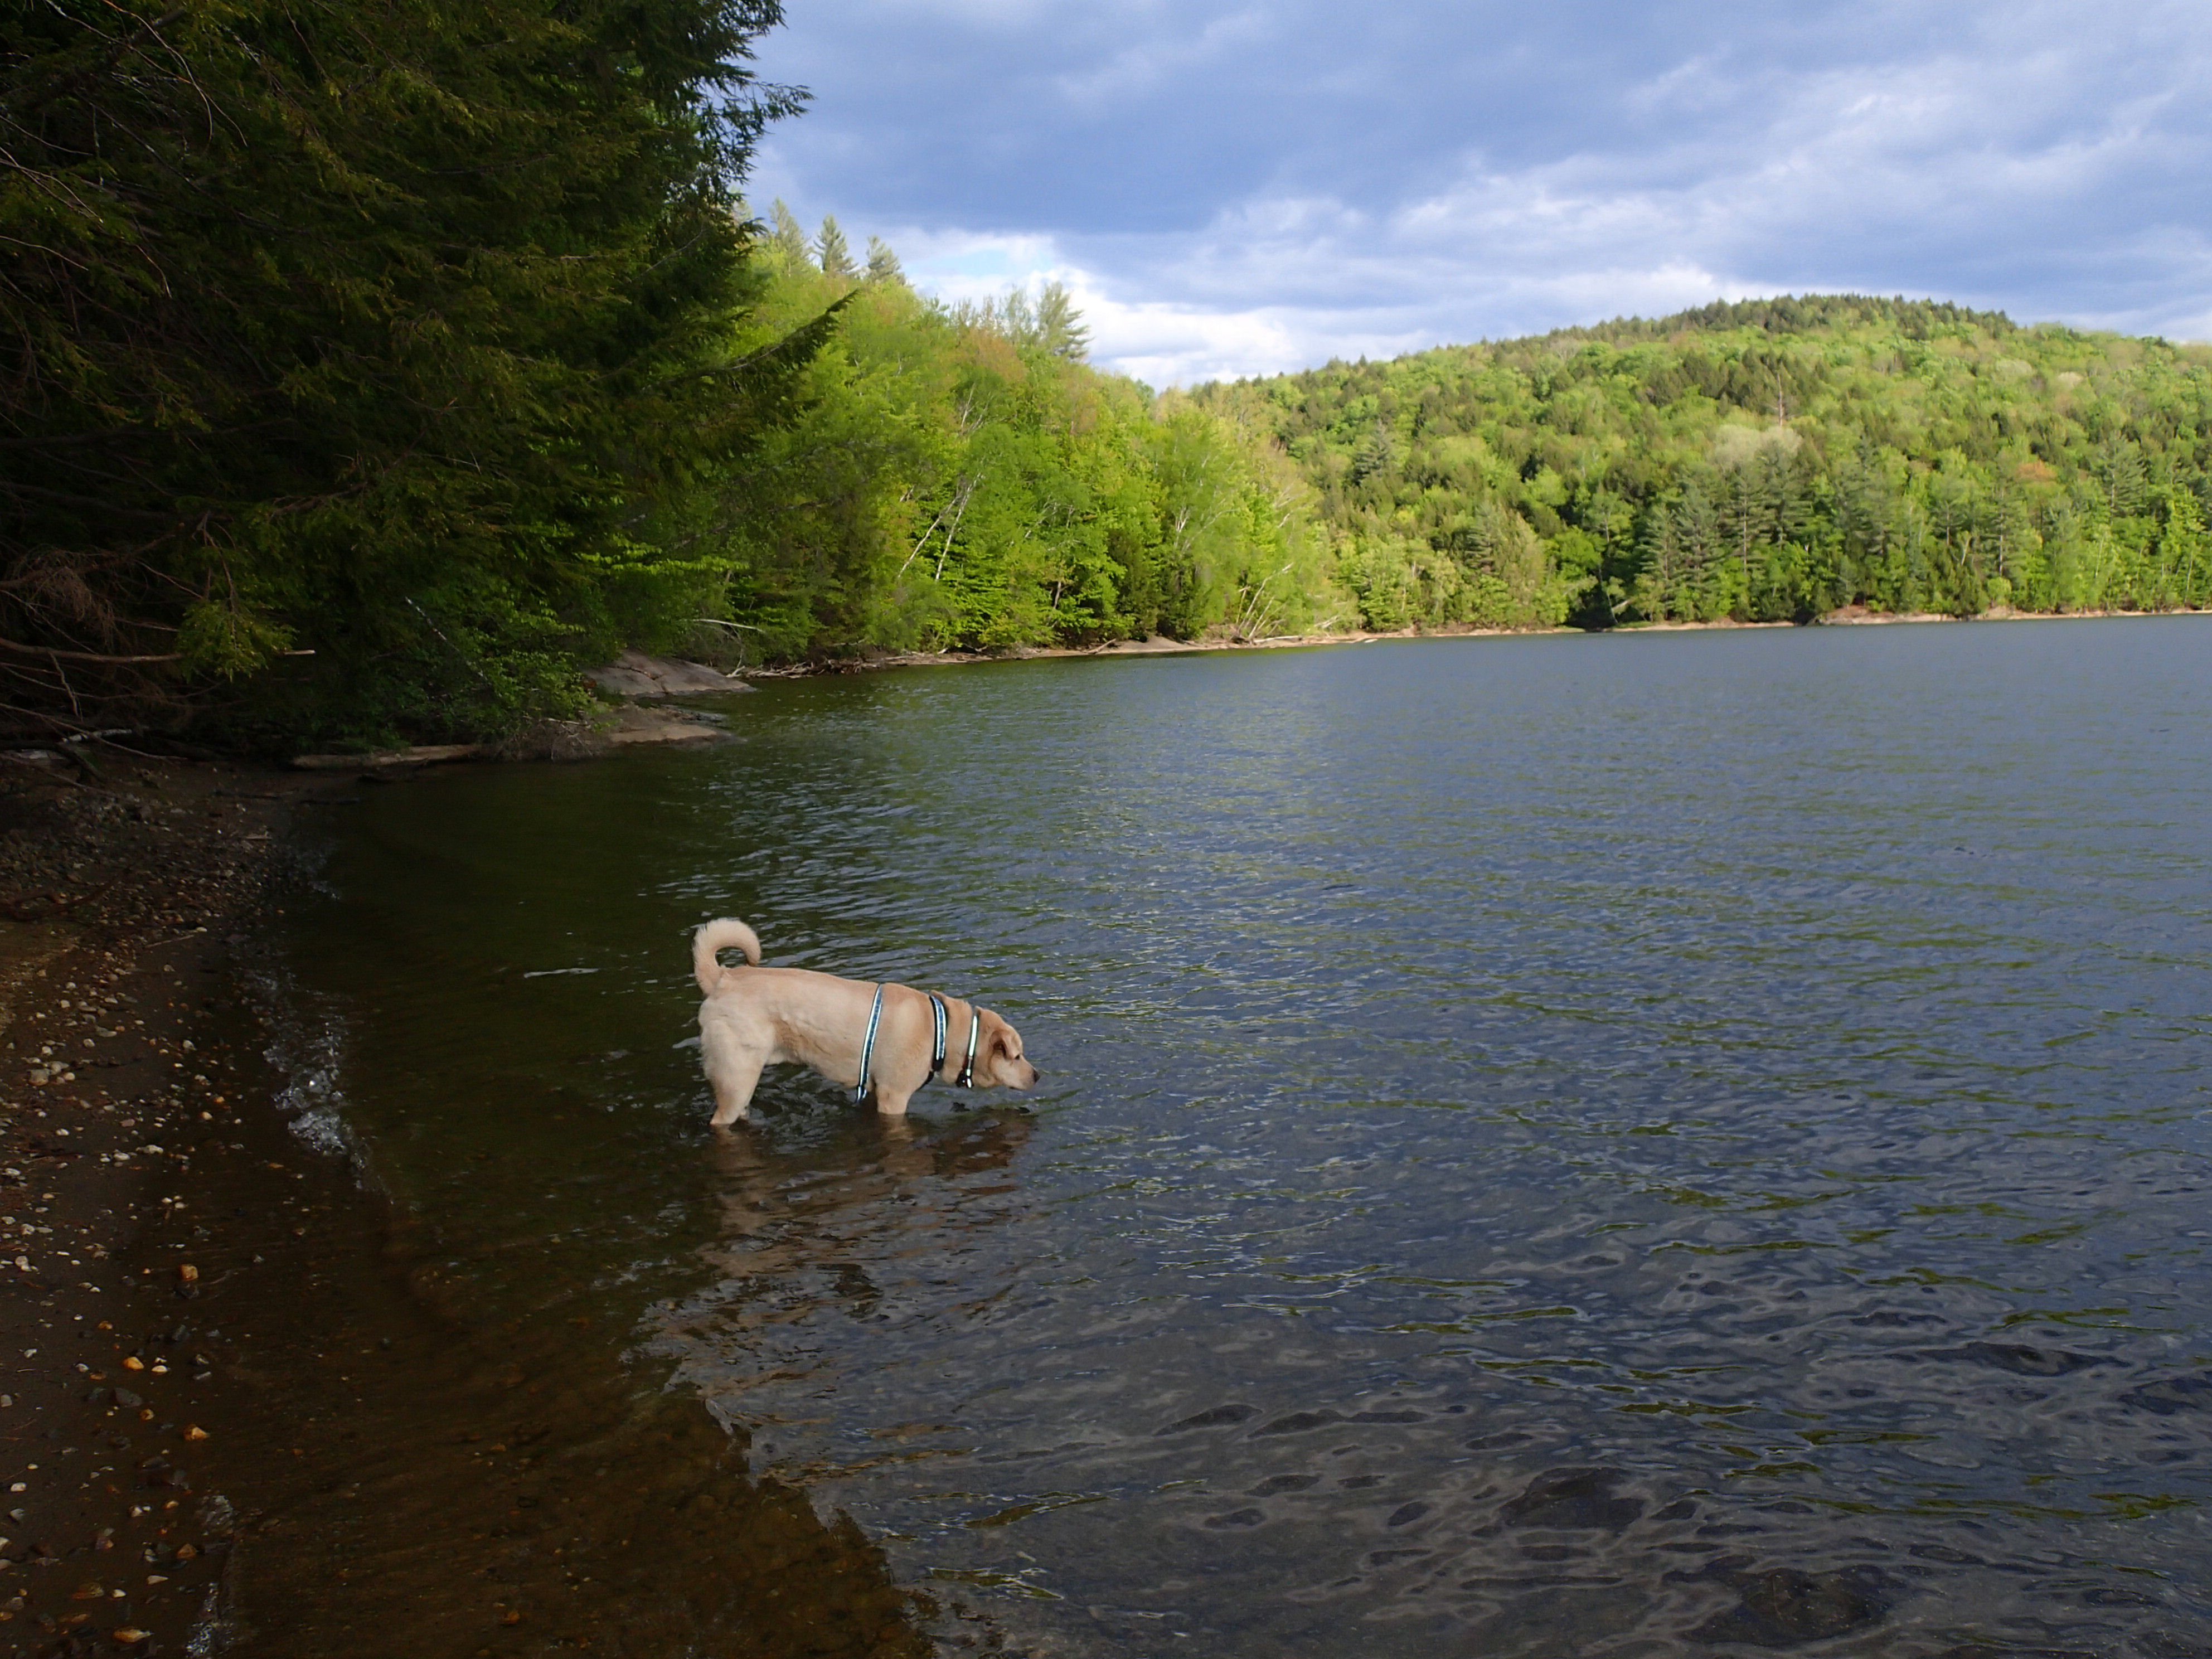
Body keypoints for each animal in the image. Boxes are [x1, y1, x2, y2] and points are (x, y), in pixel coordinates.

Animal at [691, 918, 1040, 1125]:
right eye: (1016, 1056)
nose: (1037, 1076)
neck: (943, 1031)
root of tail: (724, 979)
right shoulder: (894, 1097)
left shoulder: (873, 1091)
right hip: (737, 1078)